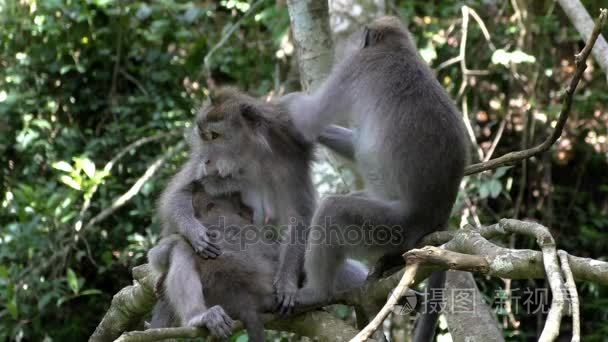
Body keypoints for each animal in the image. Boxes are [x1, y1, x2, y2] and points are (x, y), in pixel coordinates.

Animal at [282, 14, 468, 332]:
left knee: (334, 210)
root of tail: (436, 219)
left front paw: (279, 104)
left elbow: (309, 119)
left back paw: (316, 292)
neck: (397, 49)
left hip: (392, 229)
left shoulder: (356, 66)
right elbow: (355, 144)